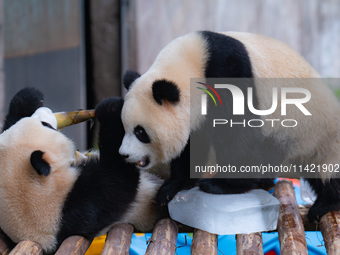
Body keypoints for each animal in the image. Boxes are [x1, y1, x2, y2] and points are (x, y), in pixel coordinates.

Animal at [0, 87, 162, 253]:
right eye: (45, 125)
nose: (46, 110)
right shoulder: (80, 205)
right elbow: (119, 180)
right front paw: (109, 109)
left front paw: (30, 97)